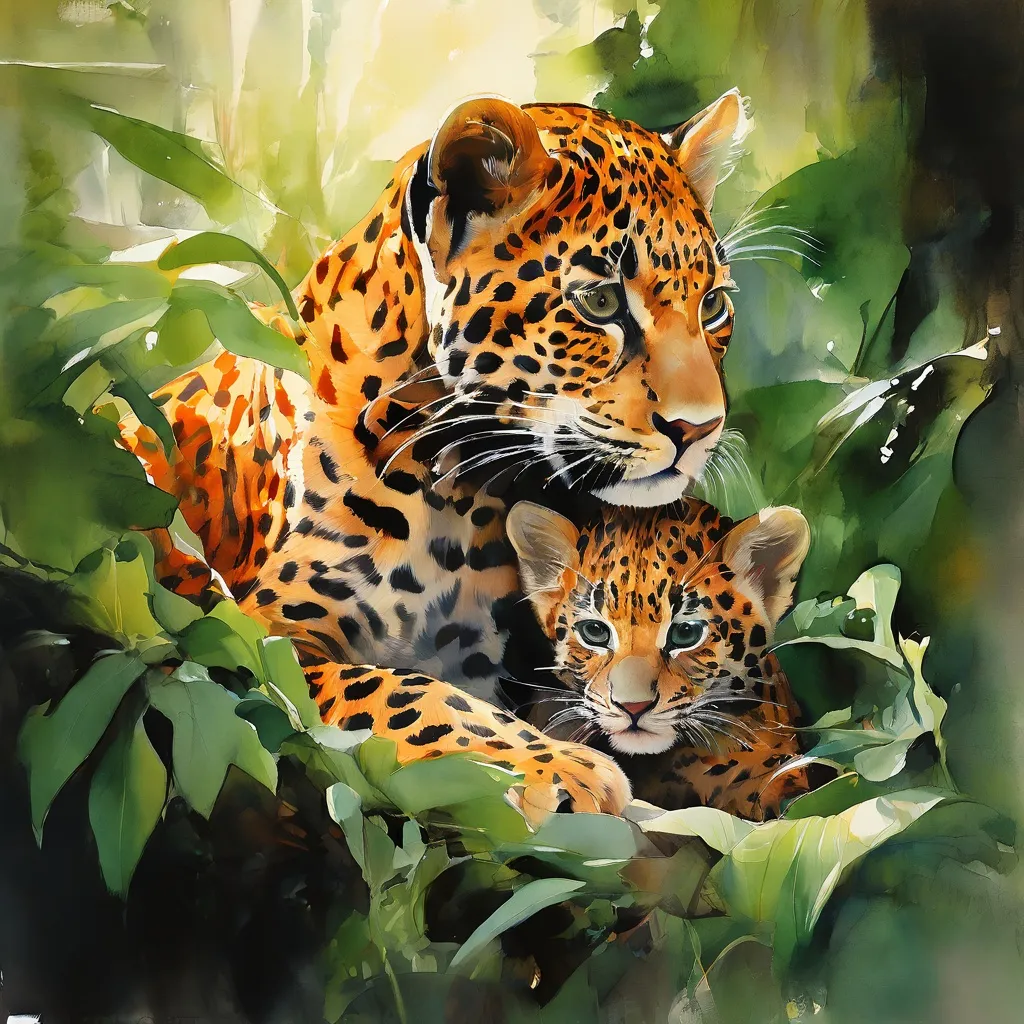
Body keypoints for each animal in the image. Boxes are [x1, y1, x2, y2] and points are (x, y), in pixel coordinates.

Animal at [120, 90, 752, 818]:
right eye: (598, 302)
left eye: (713, 305)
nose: (700, 428)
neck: (464, 489)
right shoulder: (247, 641)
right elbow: (402, 692)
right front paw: (562, 770)